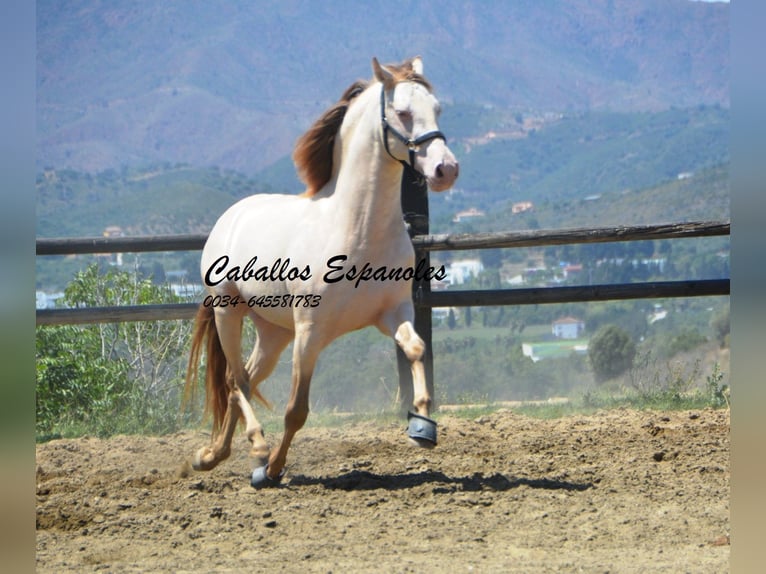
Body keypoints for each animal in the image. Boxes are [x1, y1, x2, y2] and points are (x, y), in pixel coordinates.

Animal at [186, 58, 460, 488]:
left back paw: (212, 456)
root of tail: (231, 215)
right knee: (237, 380)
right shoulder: (310, 333)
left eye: (437, 108)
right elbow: (296, 409)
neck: (357, 229)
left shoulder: (394, 313)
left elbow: (416, 350)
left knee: (239, 381)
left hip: (274, 332)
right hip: (228, 312)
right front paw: (272, 468)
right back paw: (257, 450)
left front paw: (422, 427)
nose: (446, 170)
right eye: (402, 112)